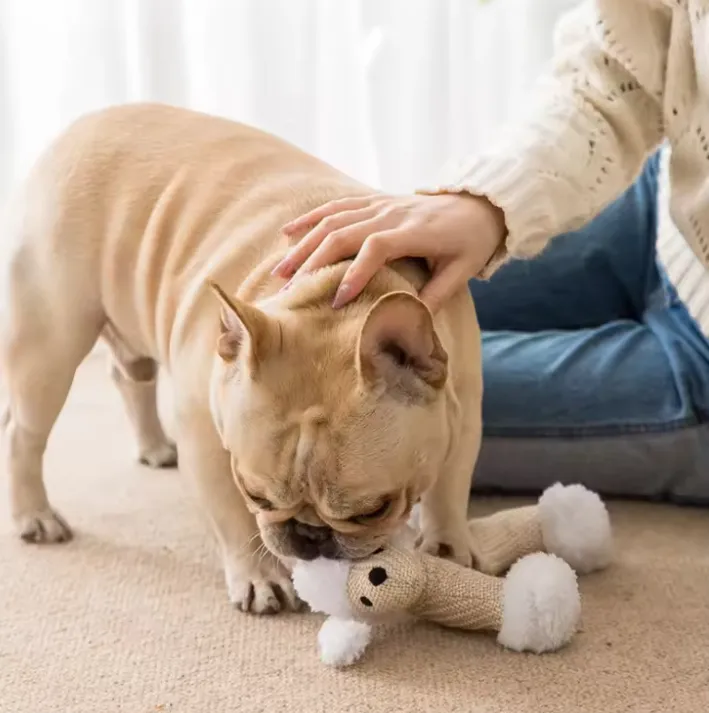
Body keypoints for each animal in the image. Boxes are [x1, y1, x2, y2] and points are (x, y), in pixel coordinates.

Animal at [0, 103, 482, 616]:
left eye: (374, 509)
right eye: (257, 495)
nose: (309, 534)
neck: (336, 293)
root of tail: (78, 127)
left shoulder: (461, 409)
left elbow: (451, 483)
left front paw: (448, 546)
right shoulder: (207, 439)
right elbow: (230, 516)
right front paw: (258, 576)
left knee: (129, 374)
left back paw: (153, 447)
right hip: (50, 342)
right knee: (22, 433)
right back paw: (35, 517)